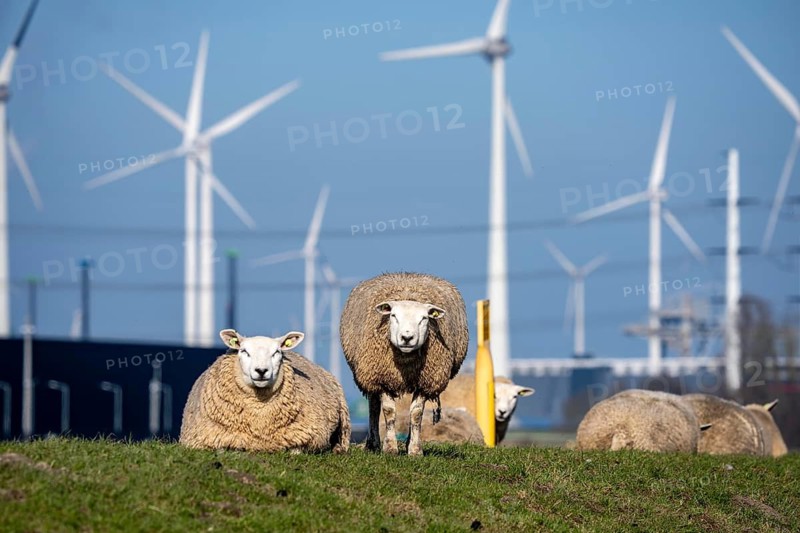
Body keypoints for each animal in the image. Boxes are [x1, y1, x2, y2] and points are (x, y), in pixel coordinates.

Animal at [180, 329, 350, 453]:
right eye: (244, 351)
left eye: (277, 352)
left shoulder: (306, 438)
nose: (261, 371)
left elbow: (296, 450)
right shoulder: (213, 438)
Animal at [340, 272, 469, 455]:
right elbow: (388, 411)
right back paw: (373, 444)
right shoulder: (382, 378)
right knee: (374, 407)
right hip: (370, 375)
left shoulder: (425, 382)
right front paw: (390, 447)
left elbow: (416, 414)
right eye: (393, 316)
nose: (407, 338)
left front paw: (415, 449)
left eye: (424, 318)